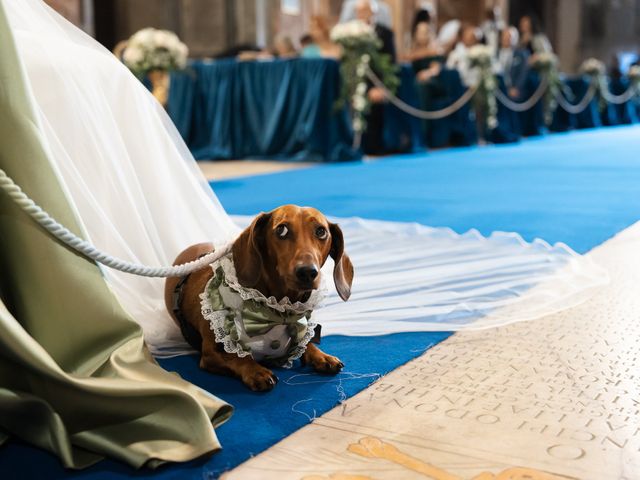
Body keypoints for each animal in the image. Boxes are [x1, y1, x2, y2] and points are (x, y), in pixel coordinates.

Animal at [165, 204, 352, 392]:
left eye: (321, 231)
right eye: (282, 230)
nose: (307, 272)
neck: (279, 307)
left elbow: (305, 343)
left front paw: (321, 356)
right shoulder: (212, 353)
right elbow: (239, 357)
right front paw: (256, 371)